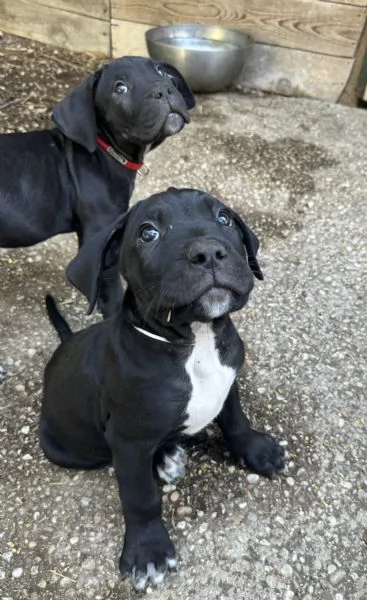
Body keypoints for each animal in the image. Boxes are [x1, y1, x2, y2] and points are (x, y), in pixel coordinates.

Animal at [0, 57, 196, 314]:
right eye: (119, 88)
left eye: (161, 71)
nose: (164, 90)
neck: (107, 151)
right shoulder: (101, 235)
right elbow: (112, 299)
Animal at [38, 188, 286, 592]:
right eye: (148, 233)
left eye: (224, 219)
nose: (209, 252)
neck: (196, 341)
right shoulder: (128, 440)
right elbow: (140, 497)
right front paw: (147, 552)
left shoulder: (228, 382)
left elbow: (236, 421)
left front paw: (257, 452)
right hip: (70, 449)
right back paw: (165, 458)